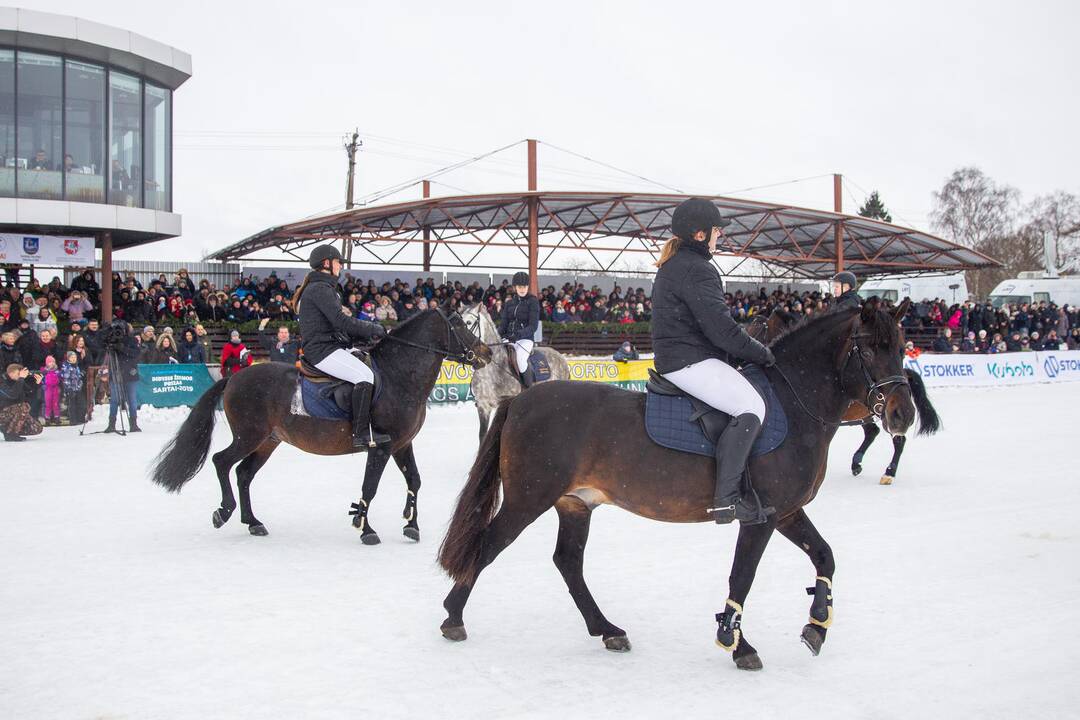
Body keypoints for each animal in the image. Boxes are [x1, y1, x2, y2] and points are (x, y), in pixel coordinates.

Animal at [150, 306, 492, 544]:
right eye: (462, 325)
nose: (486, 353)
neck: (399, 376)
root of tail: (235, 377)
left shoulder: (402, 444)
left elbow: (415, 481)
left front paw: (411, 525)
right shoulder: (380, 448)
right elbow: (370, 487)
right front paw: (366, 529)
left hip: (267, 441)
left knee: (244, 473)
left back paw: (253, 522)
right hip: (249, 436)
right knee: (222, 462)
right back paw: (224, 511)